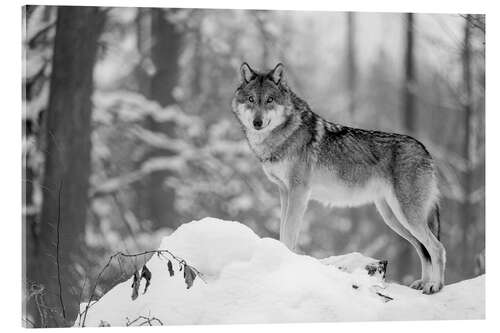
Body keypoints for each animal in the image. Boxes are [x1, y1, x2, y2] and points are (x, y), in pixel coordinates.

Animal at [232, 62, 448, 294]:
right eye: (251, 99)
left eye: (270, 100)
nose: (257, 122)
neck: (283, 135)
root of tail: (426, 151)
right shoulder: (284, 192)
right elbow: (282, 231)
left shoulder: (299, 193)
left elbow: (288, 234)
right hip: (393, 218)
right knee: (422, 248)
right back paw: (423, 283)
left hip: (407, 215)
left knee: (437, 247)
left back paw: (435, 285)